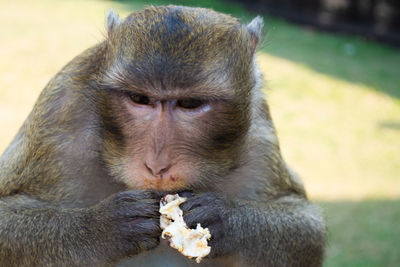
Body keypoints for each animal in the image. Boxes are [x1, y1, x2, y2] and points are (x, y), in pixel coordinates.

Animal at [0, 4, 324, 267]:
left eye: (190, 103)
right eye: (139, 99)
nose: (156, 166)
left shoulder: (258, 131)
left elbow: (306, 225)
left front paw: (226, 219)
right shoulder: (60, 115)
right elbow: (6, 217)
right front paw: (102, 228)